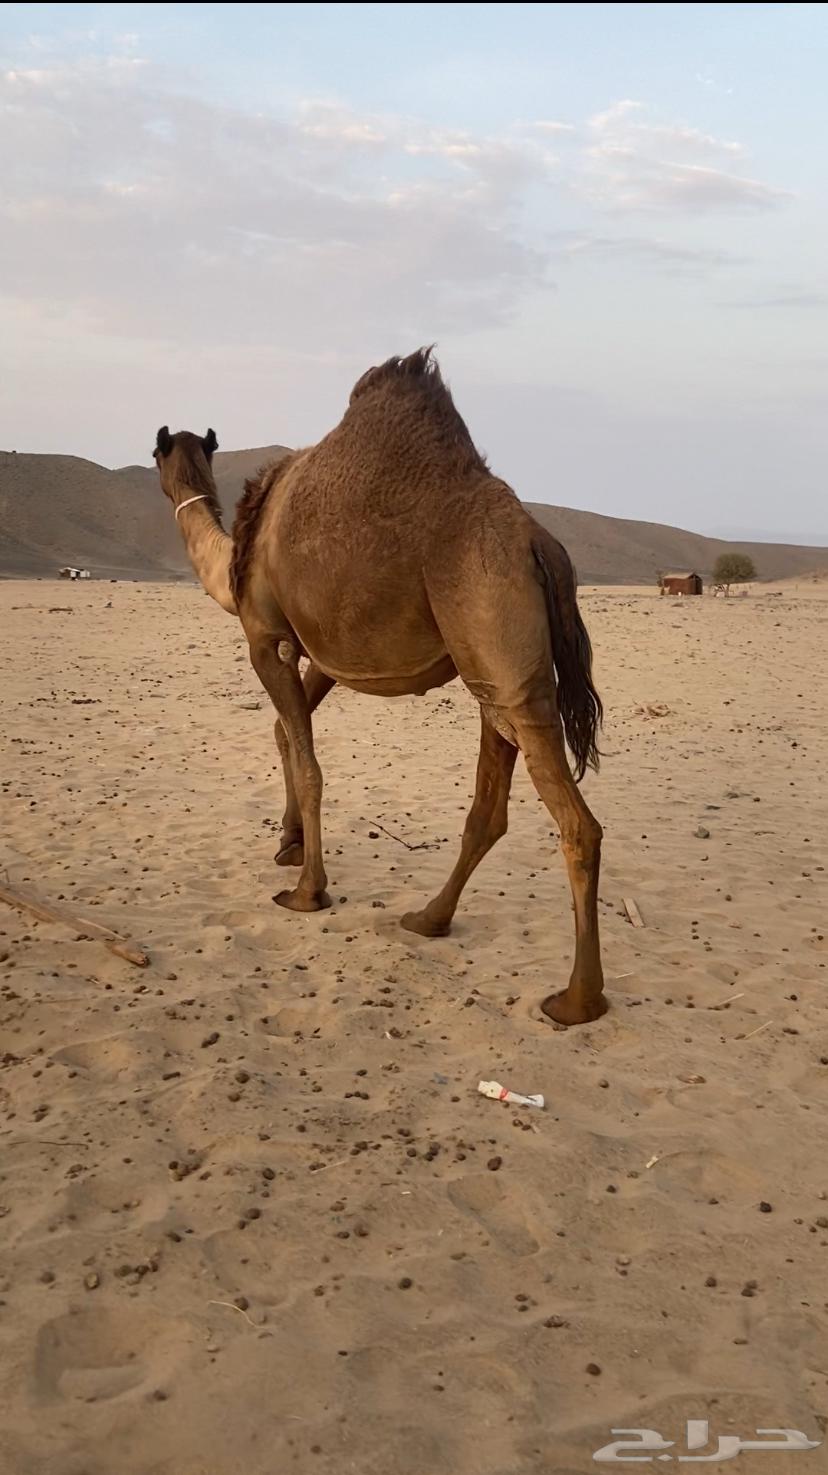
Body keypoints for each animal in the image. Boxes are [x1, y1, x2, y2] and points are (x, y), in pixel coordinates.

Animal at [153, 349, 606, 1026]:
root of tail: (538, 542)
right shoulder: (318, 652)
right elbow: (287, 734)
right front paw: (289, 843)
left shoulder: (264, 635)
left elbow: (309, 763)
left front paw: (306, 890)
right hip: (496, 672)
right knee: (489, 806)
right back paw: (428, 918)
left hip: (498, 643)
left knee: (578, 826)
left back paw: (577, 999)